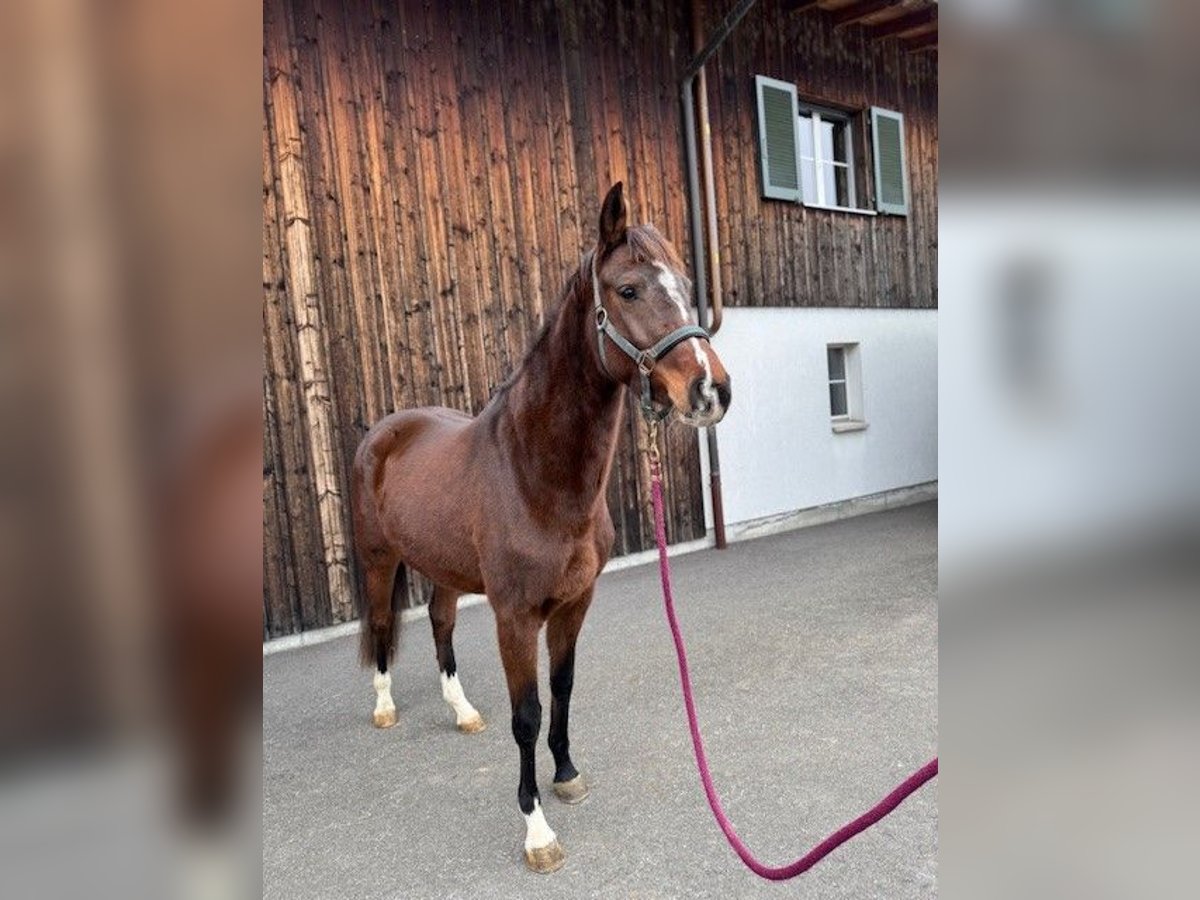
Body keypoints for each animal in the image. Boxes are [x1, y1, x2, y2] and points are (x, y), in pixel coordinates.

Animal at [350, 183, 729, 873]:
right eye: (628, 290)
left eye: (688, 286)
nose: (711, 390)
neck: (534, 474)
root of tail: (386, 431)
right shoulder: (516, 615)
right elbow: (526, 714)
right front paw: (536, 831)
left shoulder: (574, 603)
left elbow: (563, 687)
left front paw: (567, 774)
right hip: (377, 556)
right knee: (385, 624)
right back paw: (386, 706)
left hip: (444, 568)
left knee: (440, 622)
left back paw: (463, 711)